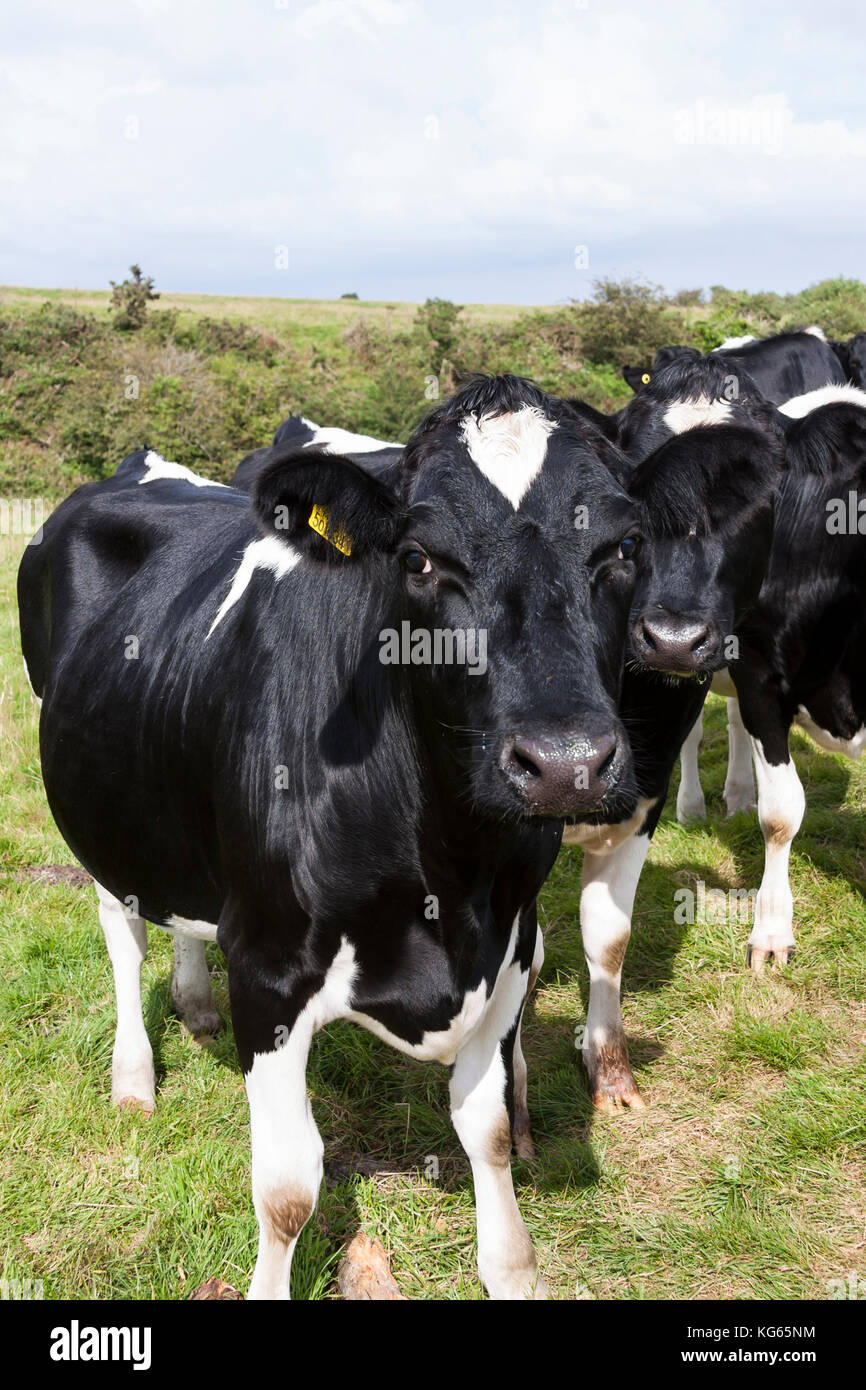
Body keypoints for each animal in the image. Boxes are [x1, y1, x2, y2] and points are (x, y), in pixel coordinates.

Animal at [18, 373, 646, 1300]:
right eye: (418, 558)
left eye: (625, 547)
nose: (567, 764)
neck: (451, 874)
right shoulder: (270, 970)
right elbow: (287, 1189)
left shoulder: (513, 945)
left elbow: (489, 1131)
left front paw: (512, 1268)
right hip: (101, 810)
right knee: (122, 929)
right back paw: (134, 1077)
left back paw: (194, 1003)